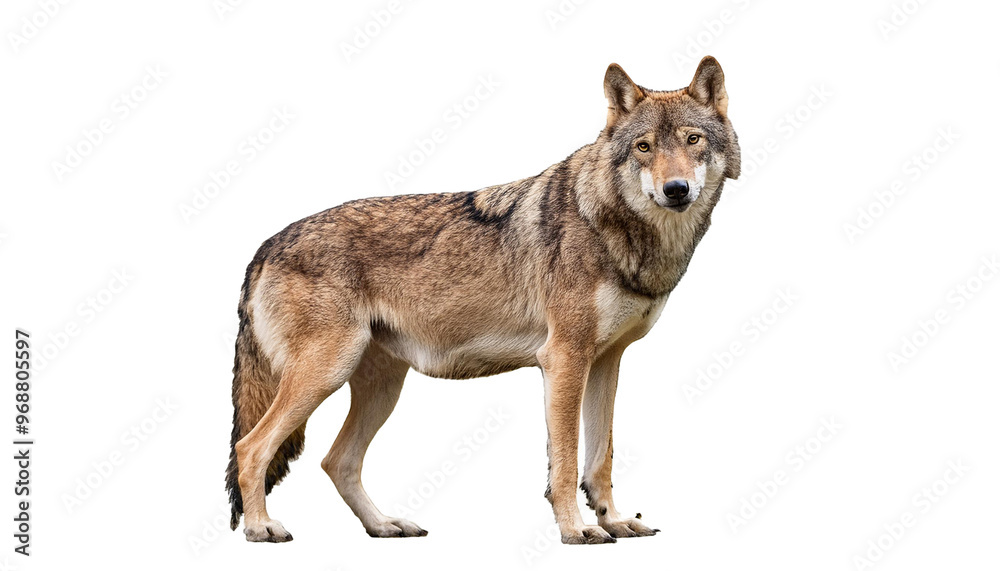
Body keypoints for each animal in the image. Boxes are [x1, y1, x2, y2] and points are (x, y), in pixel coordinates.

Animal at [225, 56, 740, 544]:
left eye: (693, 140)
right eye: (644, 147)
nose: (676, 189)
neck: (616, 228)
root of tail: (266, 245)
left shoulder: (606, 361)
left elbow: (601, 459)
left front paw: (614, 521)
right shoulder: (564, 359)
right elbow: (567, 462)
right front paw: (576, 531)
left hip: (381, 387)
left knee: (336, 461)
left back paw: (385, 525)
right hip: (327, 371)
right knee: (250, 448)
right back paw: (261, 528)